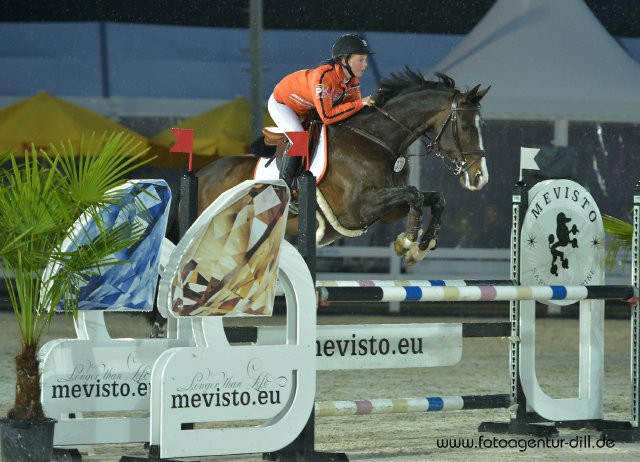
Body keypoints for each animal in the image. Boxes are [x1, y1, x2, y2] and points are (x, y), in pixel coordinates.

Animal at [195, 67, 490, 266]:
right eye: (465, 126)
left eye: (482, 125)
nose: (480, 178)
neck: (378, 140)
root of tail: (201, 174)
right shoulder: (358, 209)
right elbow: (414, 195)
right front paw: (407, 242)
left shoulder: (389, 210)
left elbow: (433, 199)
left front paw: (419, 247)